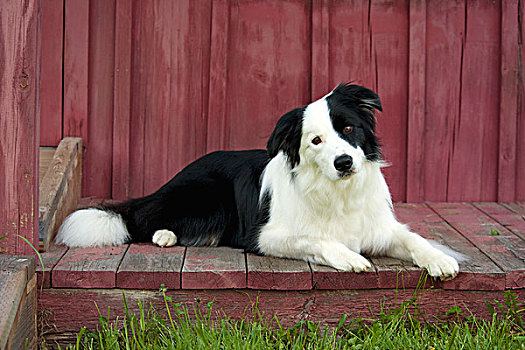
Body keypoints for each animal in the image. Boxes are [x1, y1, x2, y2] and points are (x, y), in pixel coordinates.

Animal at [57, 83, 458, 280]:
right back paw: (164, 234)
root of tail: (181, 172)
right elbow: (317, 238)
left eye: (348, 129)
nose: (343, 162)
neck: (336, 191)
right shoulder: (266, 235)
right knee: (138, 219)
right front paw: (349, 257)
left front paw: (440, 259)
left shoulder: (381, 228)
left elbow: (414, 238)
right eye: (315, 141)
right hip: (206, 195)